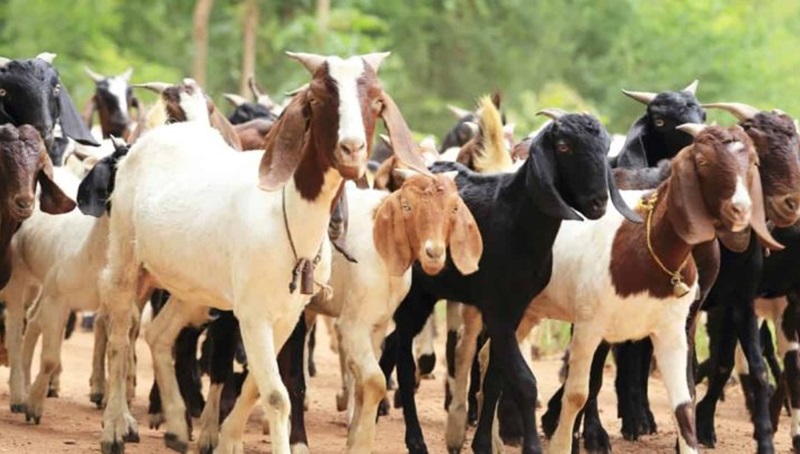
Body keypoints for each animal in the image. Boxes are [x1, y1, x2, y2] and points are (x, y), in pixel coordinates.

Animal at [378, 107, 640, 454]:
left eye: (605, 146)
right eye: (564, 146)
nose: (598, 202)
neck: (516, 219)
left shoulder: (516, 309)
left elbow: (496, 378)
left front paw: (483, 444)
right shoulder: (497, 309)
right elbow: (524, 382)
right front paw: (531, 446)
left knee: (396, 346)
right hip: (415, 296)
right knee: (406, 366)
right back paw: (415, 440)